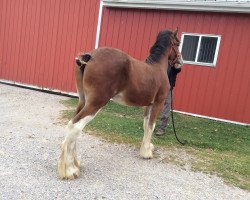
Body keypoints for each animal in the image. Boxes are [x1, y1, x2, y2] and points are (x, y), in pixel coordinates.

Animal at [58, 28, 184, 180]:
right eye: (177, 43)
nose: (180, 62)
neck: (157, 67)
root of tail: (90, 57)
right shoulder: (158, 103)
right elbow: (151, 125)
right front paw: (147, 153)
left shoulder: (148, 104)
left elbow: (146, 125)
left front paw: (146, 148)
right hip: (96, 103)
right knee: (75, 126)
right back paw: (71, 170)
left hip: (83, 101)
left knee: (73, 125)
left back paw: (75, 164)